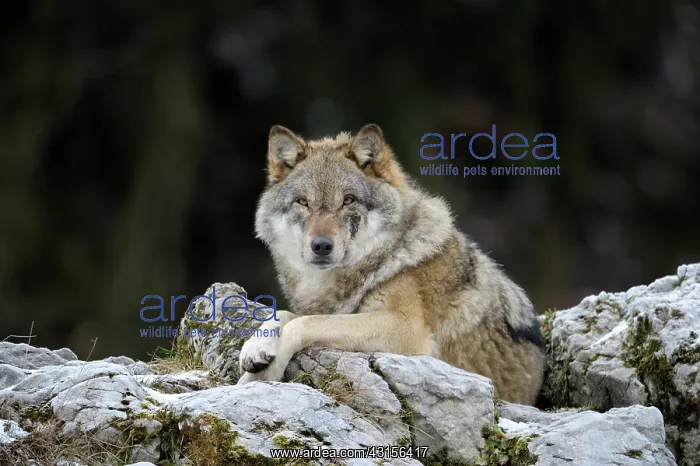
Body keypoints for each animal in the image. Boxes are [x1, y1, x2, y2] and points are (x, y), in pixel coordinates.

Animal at [237, 124, 546, 405]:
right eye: (303, 202)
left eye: (348, 200)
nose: (321, 246)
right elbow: (287, 314)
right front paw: (256, 349)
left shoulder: (405, 329)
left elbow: (304, 323)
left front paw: (259, 376)